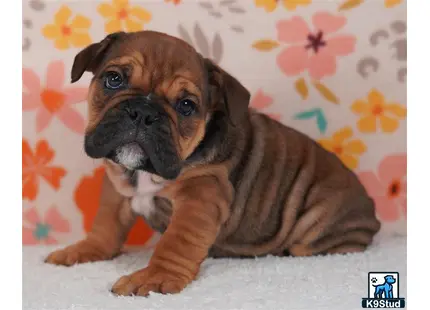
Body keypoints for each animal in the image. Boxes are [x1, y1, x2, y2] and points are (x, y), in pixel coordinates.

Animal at [44, 30, 380, 296]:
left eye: (186, 105)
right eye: (114, 79)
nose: (143, 113)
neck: (142, 173)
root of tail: (372, 214)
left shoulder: (201, 197)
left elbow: (176, 243)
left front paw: (155, 278)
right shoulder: (117, 187)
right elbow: (105, 225)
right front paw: (83, 251)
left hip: (320, 224)